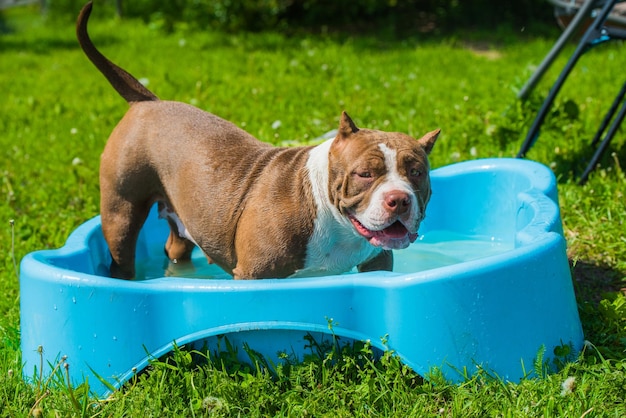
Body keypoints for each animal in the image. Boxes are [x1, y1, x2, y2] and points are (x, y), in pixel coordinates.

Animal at [77, 2, 438, 280]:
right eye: (365, 174)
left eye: (416, 173)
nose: (399, 200)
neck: (336, 222)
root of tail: (146, 101)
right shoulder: (255, 274)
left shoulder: (378, 261)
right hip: (121, 210)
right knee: (122, 251)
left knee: (176, 245)